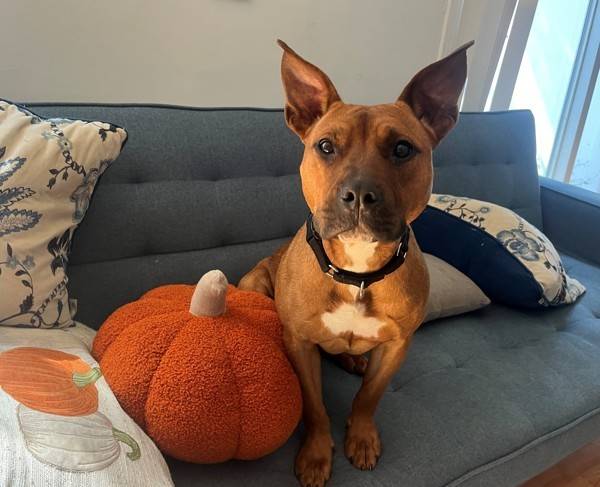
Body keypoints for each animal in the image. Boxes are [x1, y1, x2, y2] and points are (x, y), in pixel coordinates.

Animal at [239, 39, 474, 487]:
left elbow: (369, 395)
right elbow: (314, 406)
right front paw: (316, 455)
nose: (360, 194)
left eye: (402, 149)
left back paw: (351, 358)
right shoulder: (299, 343)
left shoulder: (397, 345)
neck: (357, 272)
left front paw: (361, 437)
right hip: (255, 284)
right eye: (326, 146)